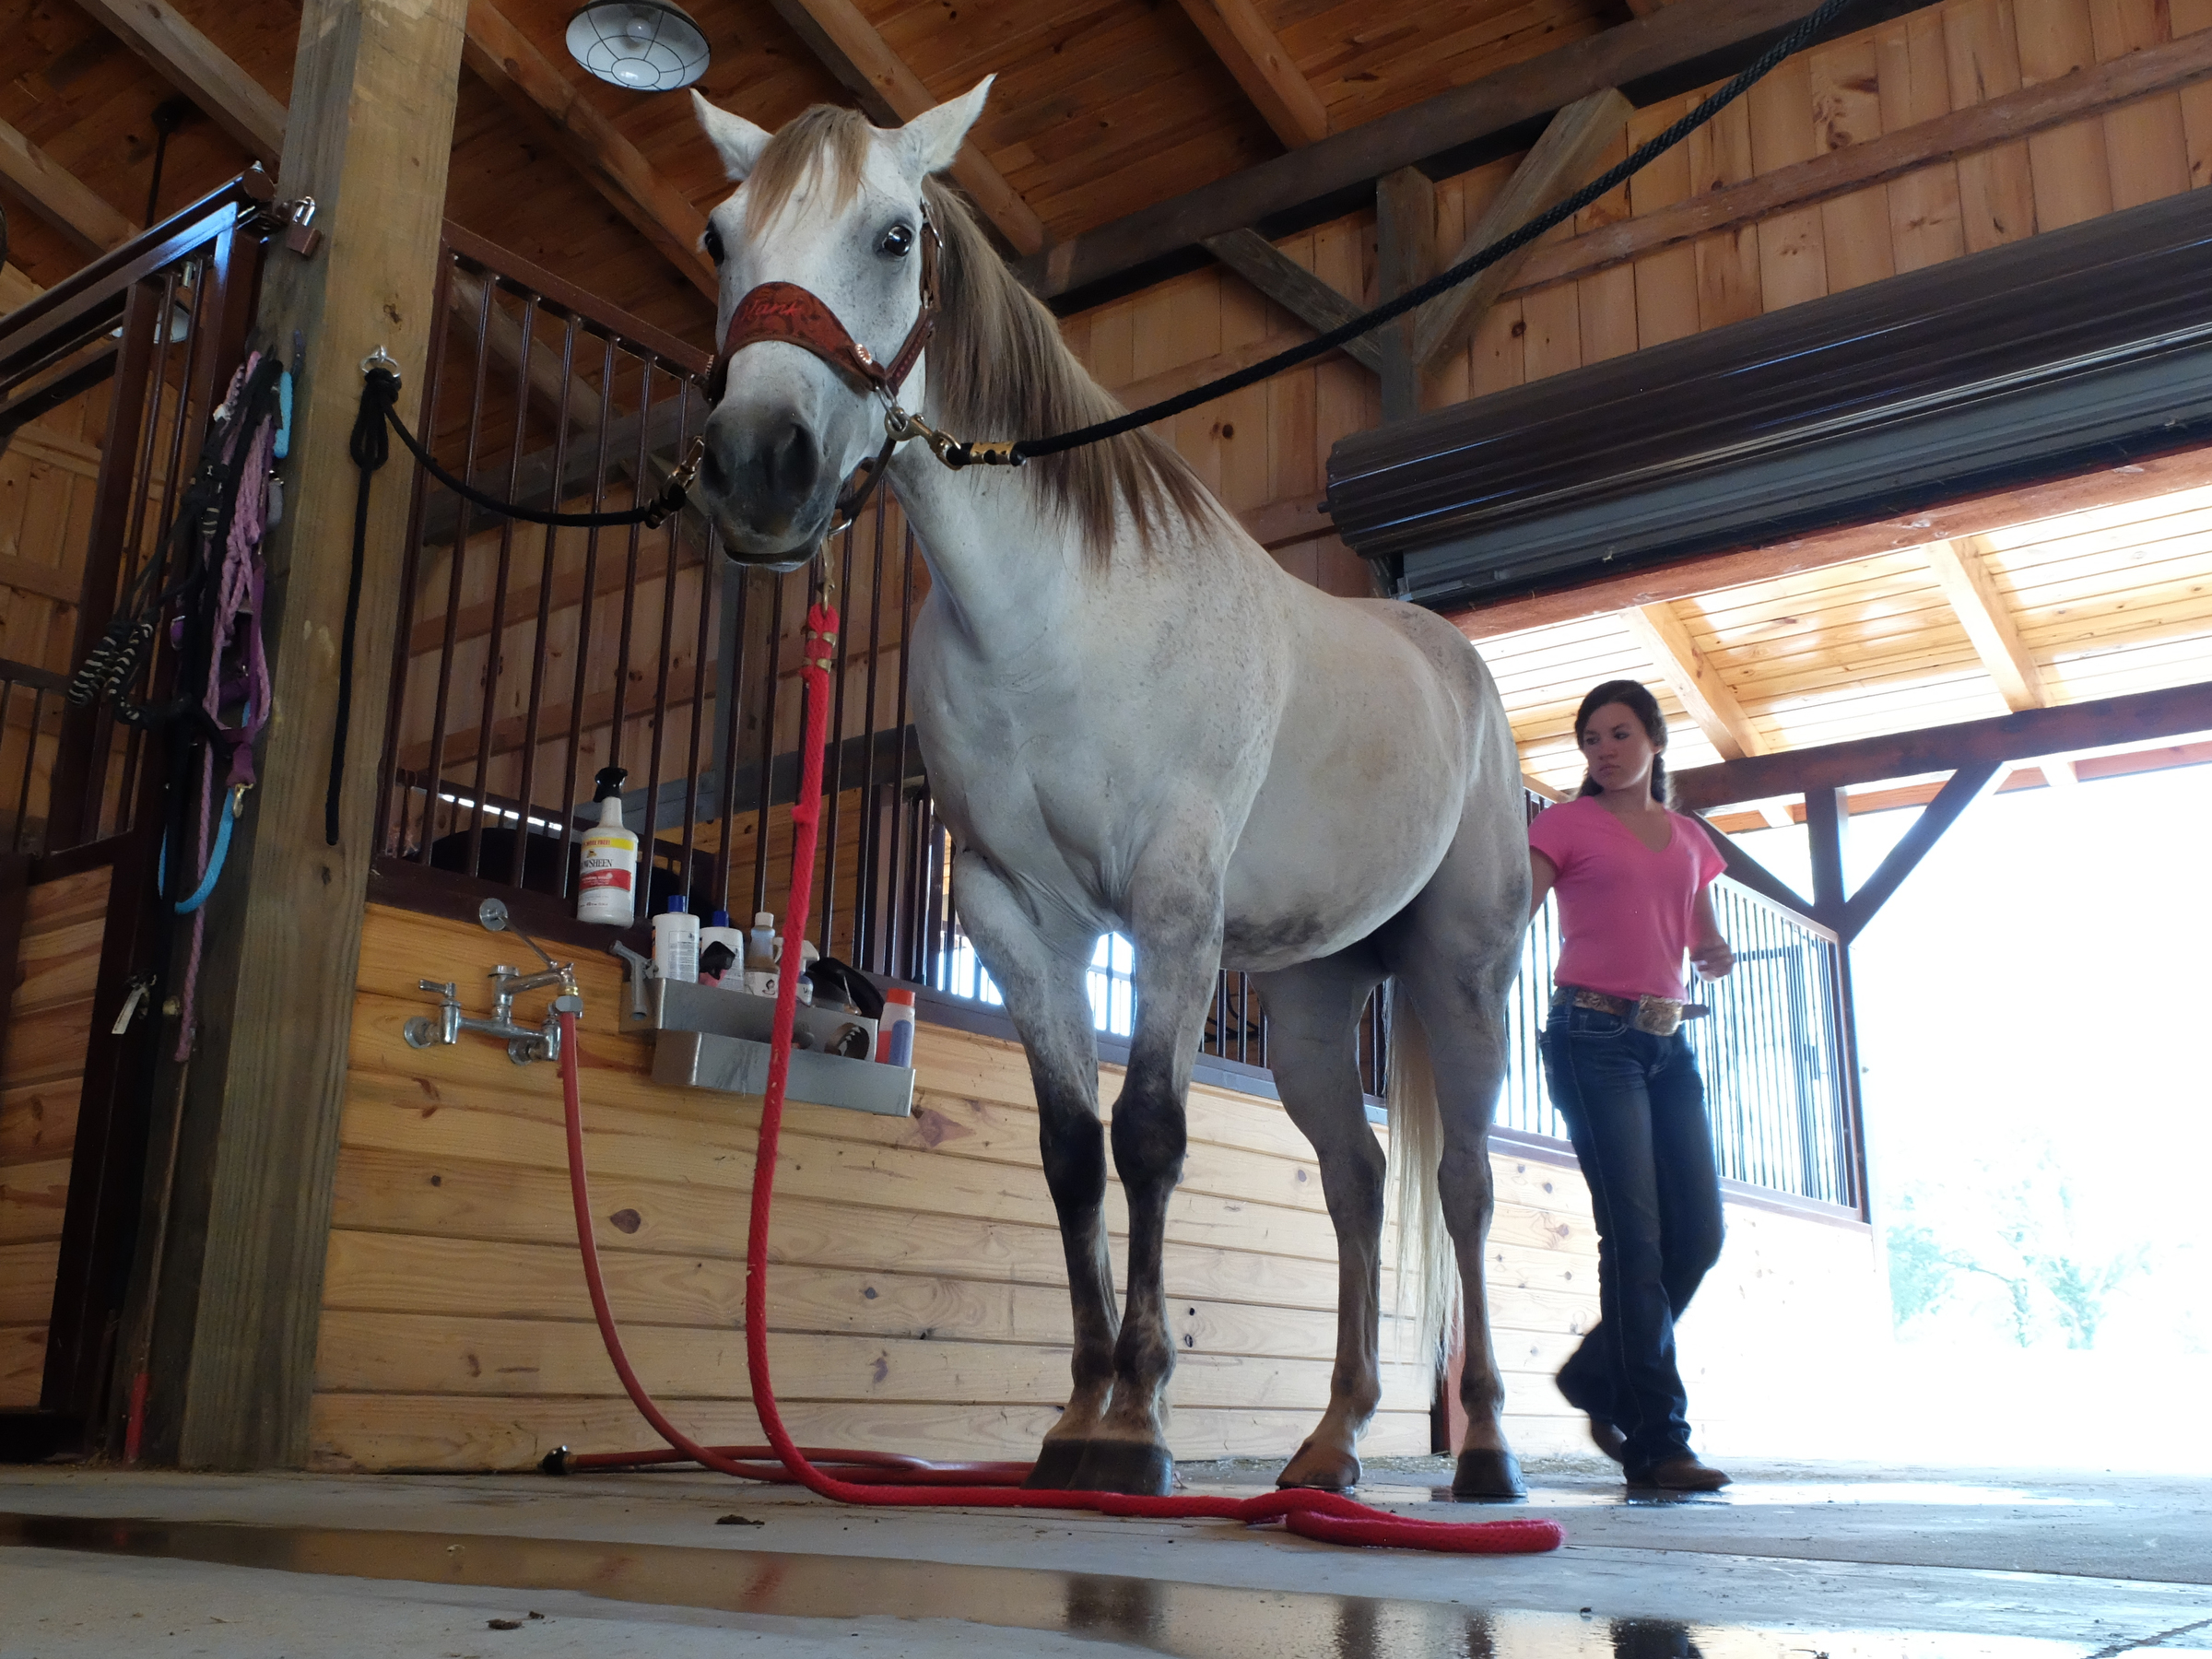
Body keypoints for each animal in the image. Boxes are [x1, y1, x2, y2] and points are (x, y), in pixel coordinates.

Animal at [685, 81, 1533, 1500]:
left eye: (895, 235)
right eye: (718, 236)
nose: (758, 465)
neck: (1056, 619)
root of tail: (1458, 667)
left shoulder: (1171, 910)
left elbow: (1148, 1135)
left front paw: (1139, 1419)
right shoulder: (1018, 918)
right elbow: (1072, 1151)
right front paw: (1078, 1413)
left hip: (1460, 973)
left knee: (1463, 1186)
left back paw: (1487, 1453)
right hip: (1314, 1004)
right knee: (1359, 1185)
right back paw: (1330, 1445)